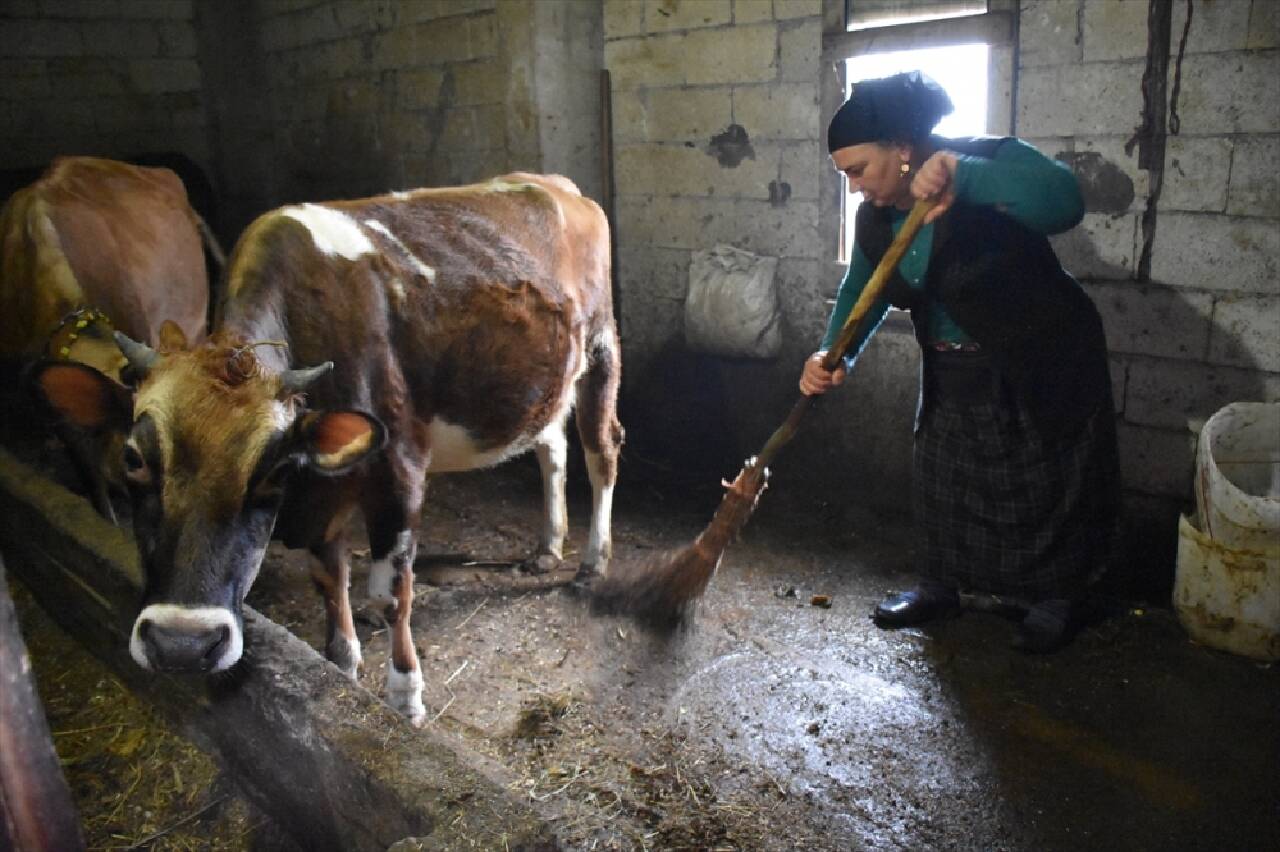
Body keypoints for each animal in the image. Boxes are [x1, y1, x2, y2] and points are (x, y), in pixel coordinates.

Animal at [32, 173, 622, 721]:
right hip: (548, 379)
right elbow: (329, 580)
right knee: (551, 448)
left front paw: (405, 695)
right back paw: (547, 549)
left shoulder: (399, 470)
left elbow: (391, 594)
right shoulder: (321, 494)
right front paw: (341, 664)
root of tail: (555, 184)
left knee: (601, 452)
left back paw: (592, 562)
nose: (182, 644)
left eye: (271, 469)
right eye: (133, 458)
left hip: (601, 347)